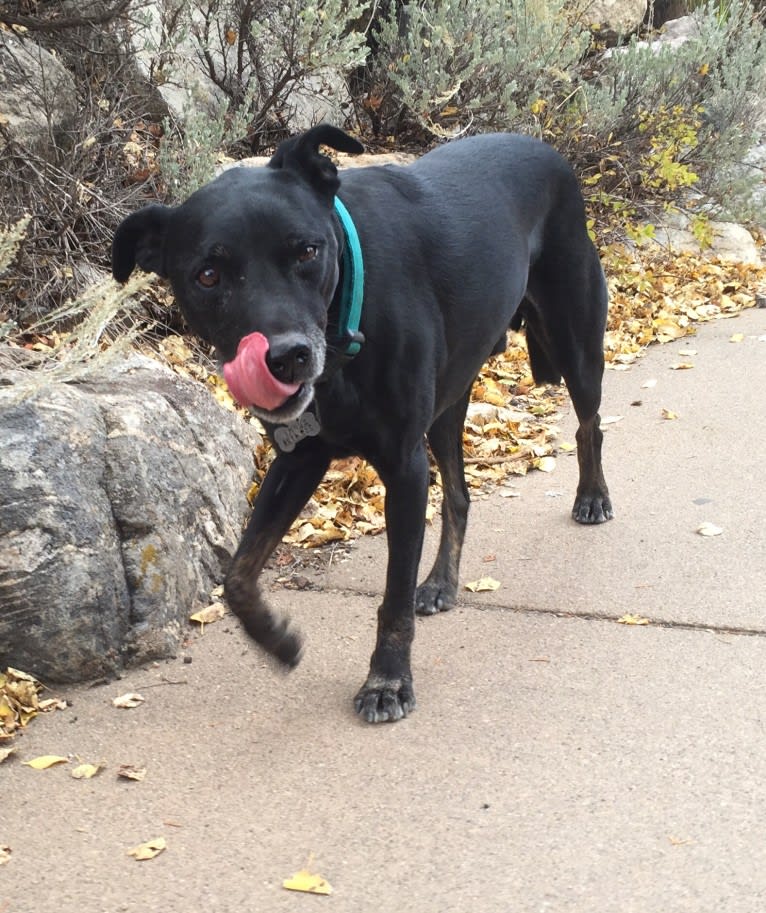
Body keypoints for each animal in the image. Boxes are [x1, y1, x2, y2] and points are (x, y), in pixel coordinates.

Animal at [114, 124, 616, 724]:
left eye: (307, 251)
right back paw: (441, 582)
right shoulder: (298, 458)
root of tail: (542, 146)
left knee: (589, 425)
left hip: (574, 342)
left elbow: (393, 596)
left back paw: (592, 497)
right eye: (208, 275)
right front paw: (277, 638)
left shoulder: (404, 468)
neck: (346, 321)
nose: (287, 358)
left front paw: (388, 680)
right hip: (447, 407)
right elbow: (237, 576)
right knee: (460, 494)